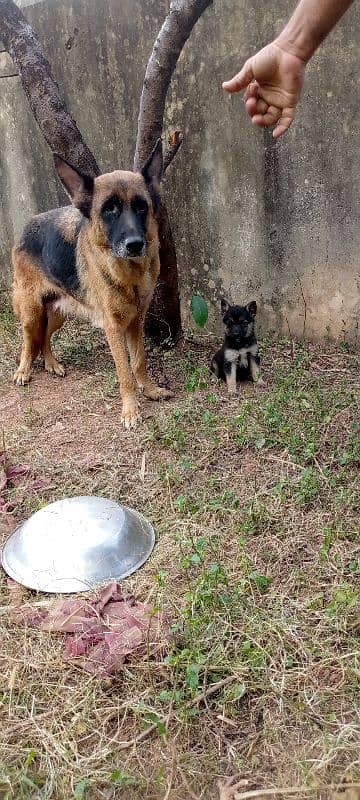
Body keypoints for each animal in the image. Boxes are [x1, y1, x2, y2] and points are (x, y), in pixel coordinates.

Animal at [11, 144, 172, 432]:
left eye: (142, 206)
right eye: (109, 209)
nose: (135, 245)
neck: (128, 274)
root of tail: (26, 229)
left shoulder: (136, 322)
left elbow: (139, 361)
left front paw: (151, 390)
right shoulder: (114, 328)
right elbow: (125, 372)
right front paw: (130, 411)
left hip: (58, 314)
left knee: (45, 339)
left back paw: (52, 364)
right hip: (31, 312)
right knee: (29, 341)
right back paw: (23, 370)